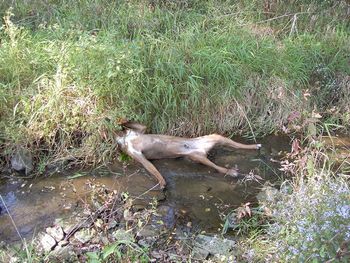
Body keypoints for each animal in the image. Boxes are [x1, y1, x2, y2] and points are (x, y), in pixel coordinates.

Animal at [116, 121, 262, 190]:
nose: (118, 140)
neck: (126, 140)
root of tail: (203, 148)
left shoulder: (139, 131)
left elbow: (138, 125)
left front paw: (121, 122)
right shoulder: (137, 155)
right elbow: (150, 167)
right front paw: (162, 182)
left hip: (215, 138)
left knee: (237, 146)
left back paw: (254, 146)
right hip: (198, 156)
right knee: (217, 167)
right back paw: (231, 171)